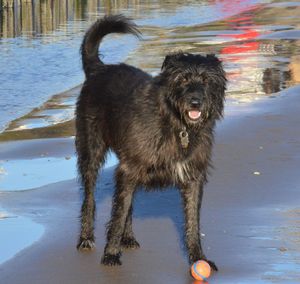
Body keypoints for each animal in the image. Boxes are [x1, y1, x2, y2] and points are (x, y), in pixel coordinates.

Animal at [75, 15, 225, 270]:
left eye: (206, 80)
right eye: (183, 79)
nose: (195, 102)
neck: (177, 125)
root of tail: (99, 69)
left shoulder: (192, 177)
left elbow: (192, 221)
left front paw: (198, 258)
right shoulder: (128, 169)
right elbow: (118, 214)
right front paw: (111, 254)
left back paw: (127, 237)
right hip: (91, 153)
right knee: (90, 196)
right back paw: (86, 237)